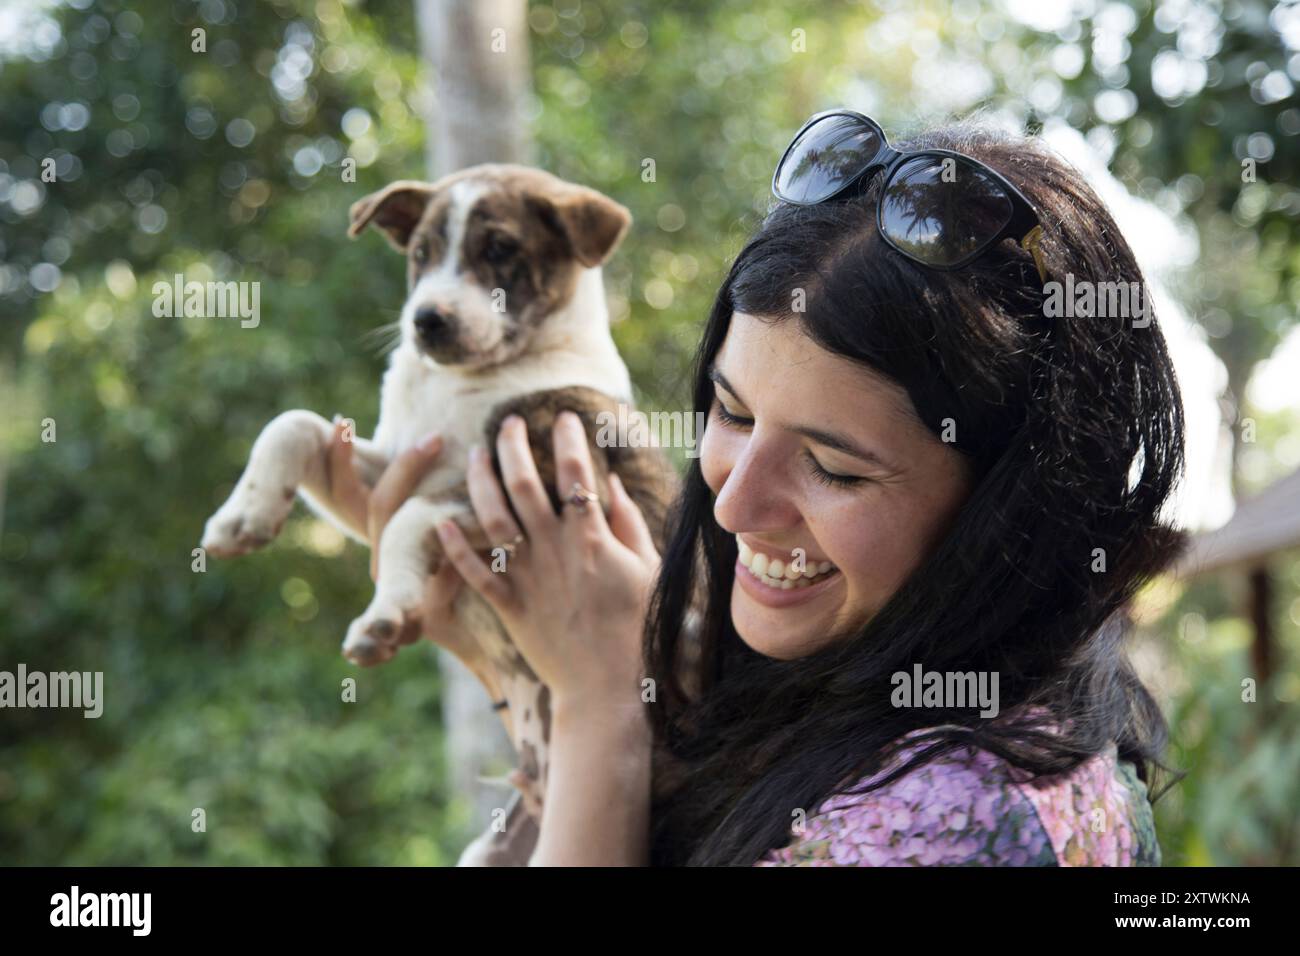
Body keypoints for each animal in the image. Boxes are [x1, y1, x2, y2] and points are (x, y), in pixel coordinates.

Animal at [197, 164, 681, 858]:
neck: (463, 381)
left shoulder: (528, 479)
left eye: (500, 249)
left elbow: (410, 521)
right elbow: (295, 425)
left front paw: (385, 616)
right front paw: (243, 516)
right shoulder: (389, 471)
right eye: (420, 254)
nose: (426, 320)